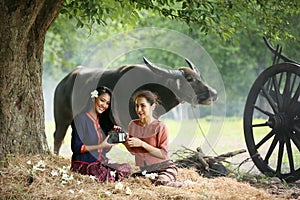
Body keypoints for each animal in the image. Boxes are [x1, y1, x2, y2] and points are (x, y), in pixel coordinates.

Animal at [54, 57, 217, 154]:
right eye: (189, 79)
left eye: (198, 77)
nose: (214, 93)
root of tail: (63, 82)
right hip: (62, 117)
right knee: (58, 136)